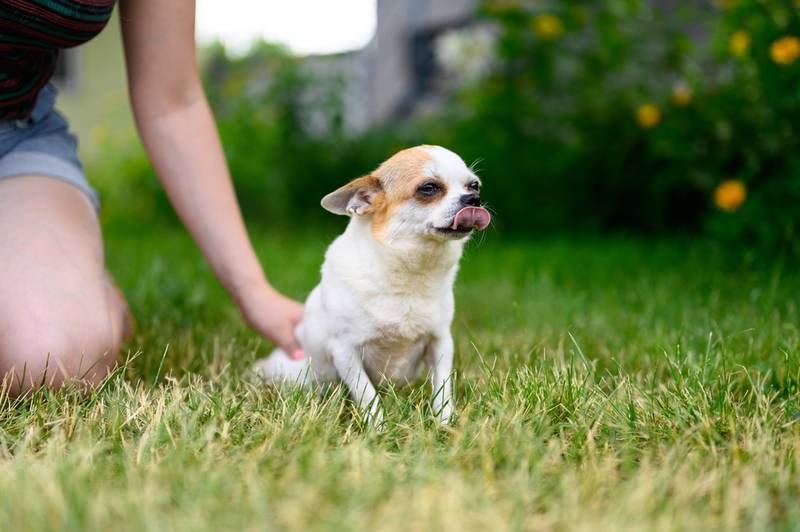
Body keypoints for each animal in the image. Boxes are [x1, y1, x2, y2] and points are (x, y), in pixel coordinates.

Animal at [253, 144, 490, 424]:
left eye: (474, 185)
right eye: (429, 188)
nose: (473, 199)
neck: (411, 272)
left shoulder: (440, 342)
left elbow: (442, 388)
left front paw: (444, 422)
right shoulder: (345, 352)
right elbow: (367, 393)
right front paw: (377, 426)